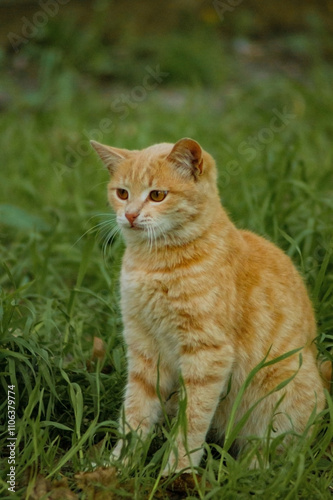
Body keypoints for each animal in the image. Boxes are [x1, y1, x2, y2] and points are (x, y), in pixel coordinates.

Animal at [90, 138, 326, 472]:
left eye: (157, 195)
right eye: (122, 193)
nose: (131, 215)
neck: (155, 263)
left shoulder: (207, 353)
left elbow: (193, 420)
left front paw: (177, 472)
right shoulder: (144, 347)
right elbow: (135, 412)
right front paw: (119, 465)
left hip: (282, 397)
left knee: (270, 455)